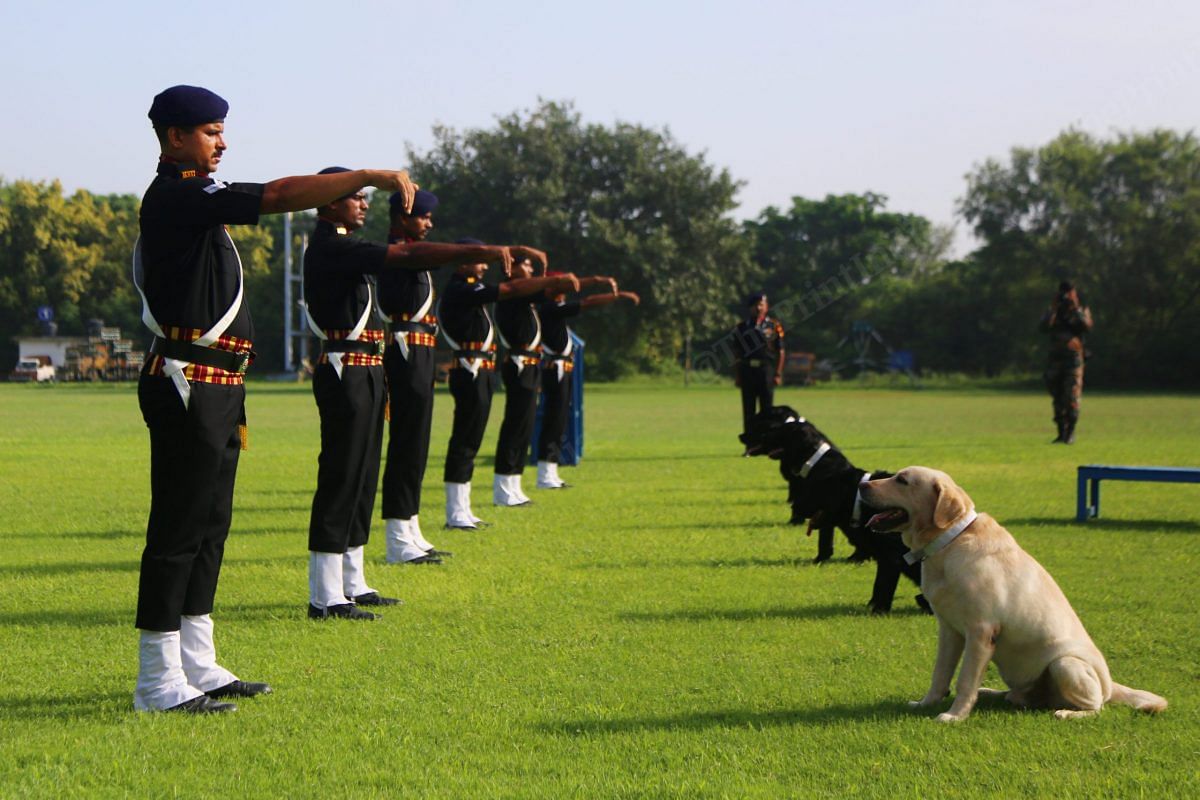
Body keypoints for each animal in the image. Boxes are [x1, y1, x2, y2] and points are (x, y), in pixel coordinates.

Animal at [859, 465, 1166, 724]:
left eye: (902, 480)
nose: (862, 485)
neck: (950, 542)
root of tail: (1110, 684)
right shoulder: (949, 630)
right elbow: (940, 674)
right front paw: (926, 703)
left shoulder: (981, 631)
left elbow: (964, 679)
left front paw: (955, 716)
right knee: (1017, 696)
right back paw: (992, 692)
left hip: (1066, 664)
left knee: (1096, 706)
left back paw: (1067, 713)